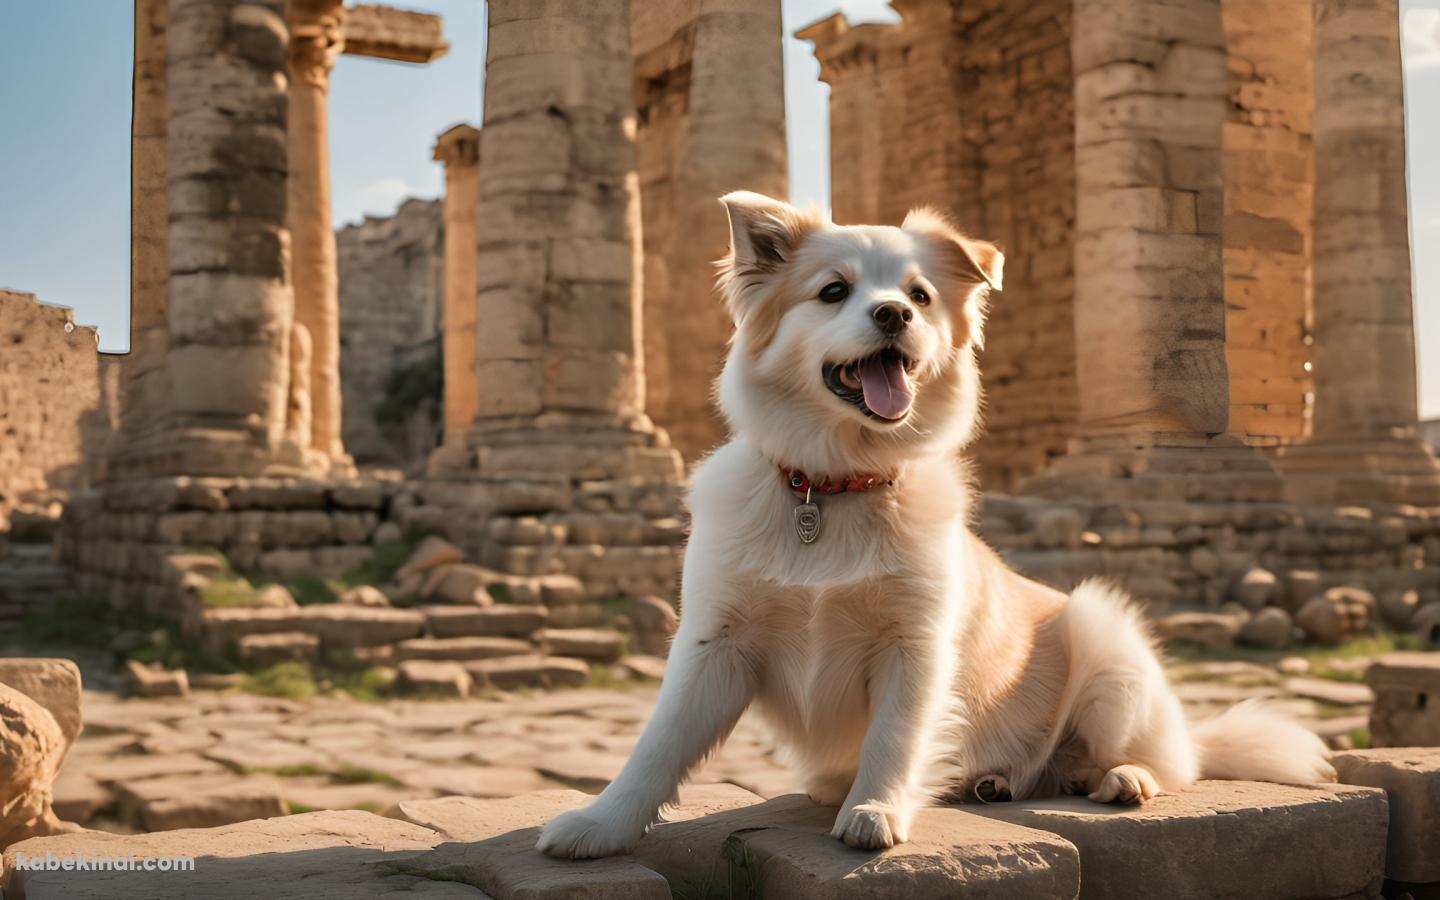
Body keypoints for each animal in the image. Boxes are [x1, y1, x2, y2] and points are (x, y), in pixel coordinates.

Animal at [535, 190, 1330, 858]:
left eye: (919, 295)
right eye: (834, 290)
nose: (894, 314)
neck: (832, 487)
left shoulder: (915, 643)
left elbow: (894, 735)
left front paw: (876, 811)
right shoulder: (714, 642)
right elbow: (657, 746)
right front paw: (598, 825)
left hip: (1104, 637)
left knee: (1163, 762)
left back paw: (1116, 777)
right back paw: (992, 782)